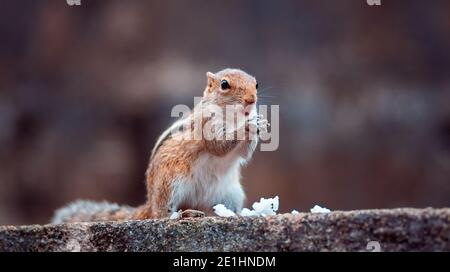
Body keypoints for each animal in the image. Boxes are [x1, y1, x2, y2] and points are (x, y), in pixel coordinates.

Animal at [52, 68, 270, 223]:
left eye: (257, 84)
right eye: (224, 84)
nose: (251, 100)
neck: (232, 117)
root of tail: (150, 202)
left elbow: (243, 154)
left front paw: (258, 123)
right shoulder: (206, 124)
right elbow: (218, 146)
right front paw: (248, 126)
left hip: (230, 194)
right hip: (170, 181)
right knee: (161, 214)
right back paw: (181, 215)